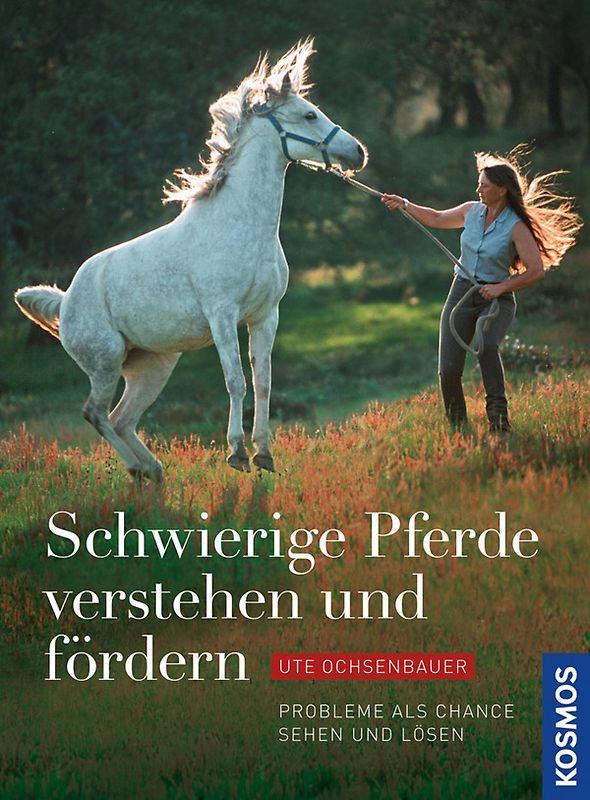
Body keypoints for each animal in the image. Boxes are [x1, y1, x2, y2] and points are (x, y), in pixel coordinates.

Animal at [14, 40, 367, 482]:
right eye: (309, 115)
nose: (358, 152)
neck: (242, 226)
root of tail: (65, 302)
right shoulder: (222, 315)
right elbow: (236, 382)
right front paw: (237, 453)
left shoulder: (265, 316)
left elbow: (263, 382)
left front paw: (264, 454)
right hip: (105, 364)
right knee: (95, 414)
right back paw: (139, 468)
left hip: (153, 366)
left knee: (121, 419)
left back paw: (152, 470)